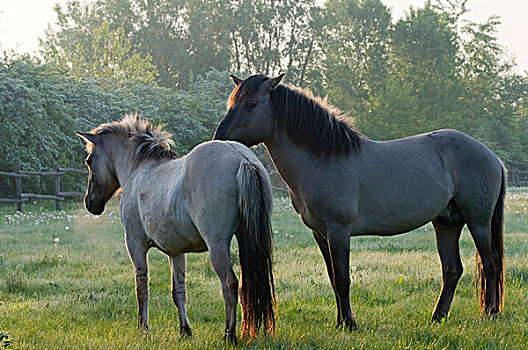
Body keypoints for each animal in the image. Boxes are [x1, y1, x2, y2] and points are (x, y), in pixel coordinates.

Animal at [77, 113, 278, 344]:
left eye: (89, 161)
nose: (90, 203)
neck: (140, 169)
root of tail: (243, 159)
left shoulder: (135, 245)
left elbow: (141, 288)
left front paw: (143, 328)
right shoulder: (176, 251)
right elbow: (178, 291)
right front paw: (185, 330)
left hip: (217, 245)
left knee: (230, 284)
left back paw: (229, 335)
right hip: (246, 238)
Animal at [212, 74, 506, 330]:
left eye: (251, 104)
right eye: (232, 102)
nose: (219, 138)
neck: (323, 159)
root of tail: (492, 157)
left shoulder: (339, 230)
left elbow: (343, 278)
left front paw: (350, 324)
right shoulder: (320, 233)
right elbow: (333, 278)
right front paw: (340, 322)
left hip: (478, 222)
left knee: (490, 262)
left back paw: (490, 313)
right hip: (446, 223)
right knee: (452, 270)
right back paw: (438, 317)